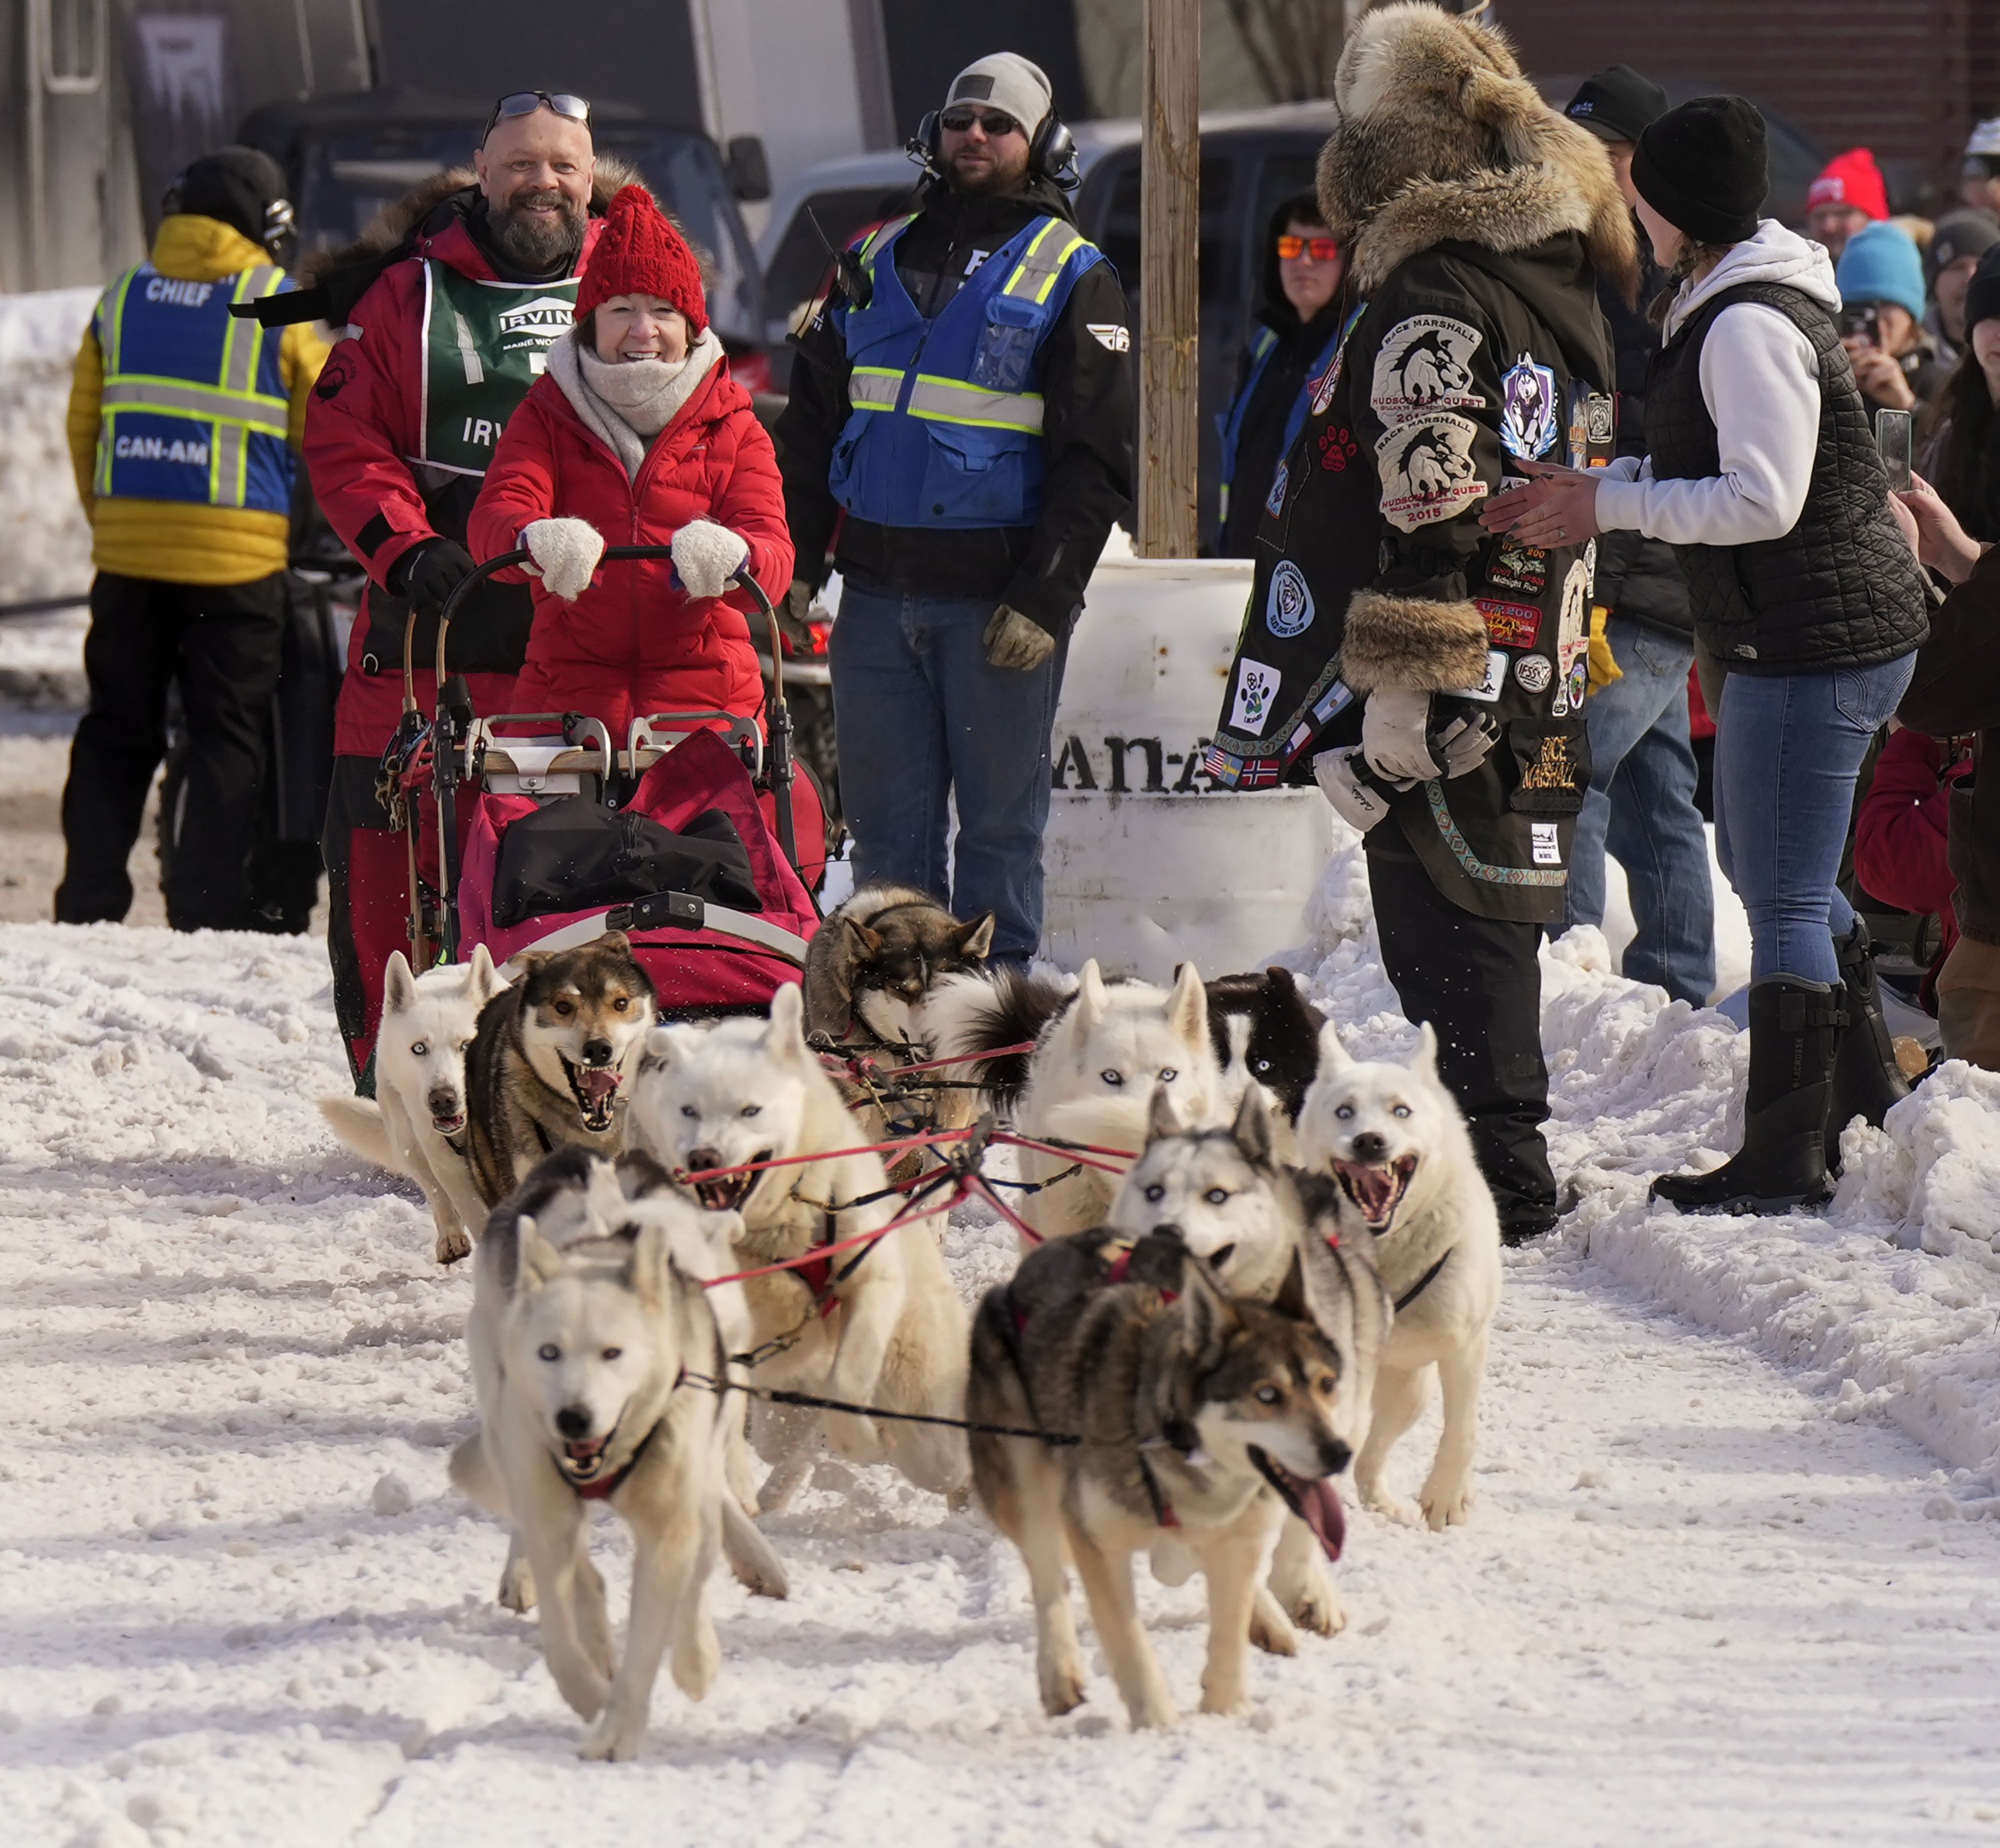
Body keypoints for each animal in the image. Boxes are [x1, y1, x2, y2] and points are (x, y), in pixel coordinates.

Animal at [319, 946, 508, 1263]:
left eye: (466, 1045)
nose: (443, 1098)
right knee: (437, 1195)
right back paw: (451, 1239)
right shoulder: (448, 1164)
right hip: (410, 1145)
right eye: (419, 1048)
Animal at [969, 1228, 1360, 1729]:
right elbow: (1129, 1644)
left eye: (1327, 1384)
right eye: (1267, 1395)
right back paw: (1060, 1676)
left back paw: (1268, 1619)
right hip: (1025, 1479)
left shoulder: (1238, 1539)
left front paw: (1225, 1713)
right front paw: (1158, 1726)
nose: (1339, 1454)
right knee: (1048, 1577)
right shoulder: (1097, 1542)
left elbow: (1228, 1632)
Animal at [1101, 1085, 1389, 1642]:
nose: (1166, 1232)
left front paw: (1304, 1589)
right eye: (1154, 1192)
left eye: (1217, 1196)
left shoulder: (1321, 1427)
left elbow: (1302, 1518)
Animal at [1295, 1021, 1502, 1530]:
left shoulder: (1465, 1344)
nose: (1369, 1140)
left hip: (1409, 1391)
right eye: (1344, 1111)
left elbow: (1462, 1428)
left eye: (1401, 1111)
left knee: (1372, 1451)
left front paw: (1446, 1497)